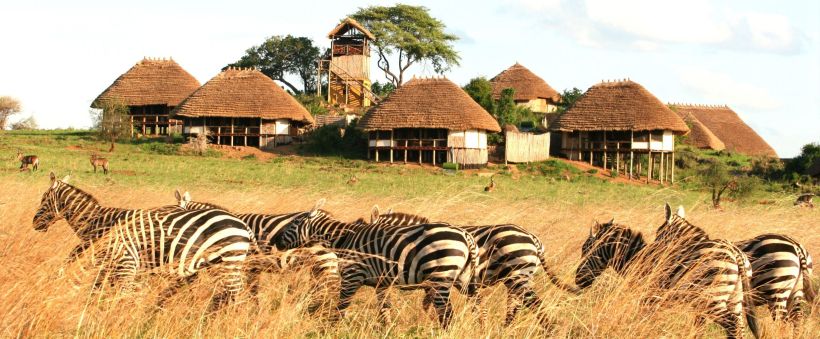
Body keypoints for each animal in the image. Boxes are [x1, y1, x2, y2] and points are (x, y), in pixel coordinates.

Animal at [34, 174, 253, 312]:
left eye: (44, 199)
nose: (34, 224)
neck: (99, 222)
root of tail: (242, 224)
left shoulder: (120, 260)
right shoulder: (111, 264)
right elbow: (98, 290)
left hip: (228, 262)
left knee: (234, 294)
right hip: (219, 264)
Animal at [276, 199, 480, 330]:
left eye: (293, 224)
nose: (277, 242)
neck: (344, 238)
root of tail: (465, 235)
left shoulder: (351, 276)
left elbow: (341, 308)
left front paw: (329, 330)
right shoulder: (382, 283)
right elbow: (384, 310)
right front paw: (387, 330)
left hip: (441, 278)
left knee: (447, 315)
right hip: (464, 280)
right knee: (475, 306)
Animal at [368, 207, 580, 326]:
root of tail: (532, 238)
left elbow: (427, 305)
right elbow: (428, 305)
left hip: (518, 274)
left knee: (534, 303)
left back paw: (546, 329)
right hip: (515, 278)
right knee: (517, 305)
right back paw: (506, 328)